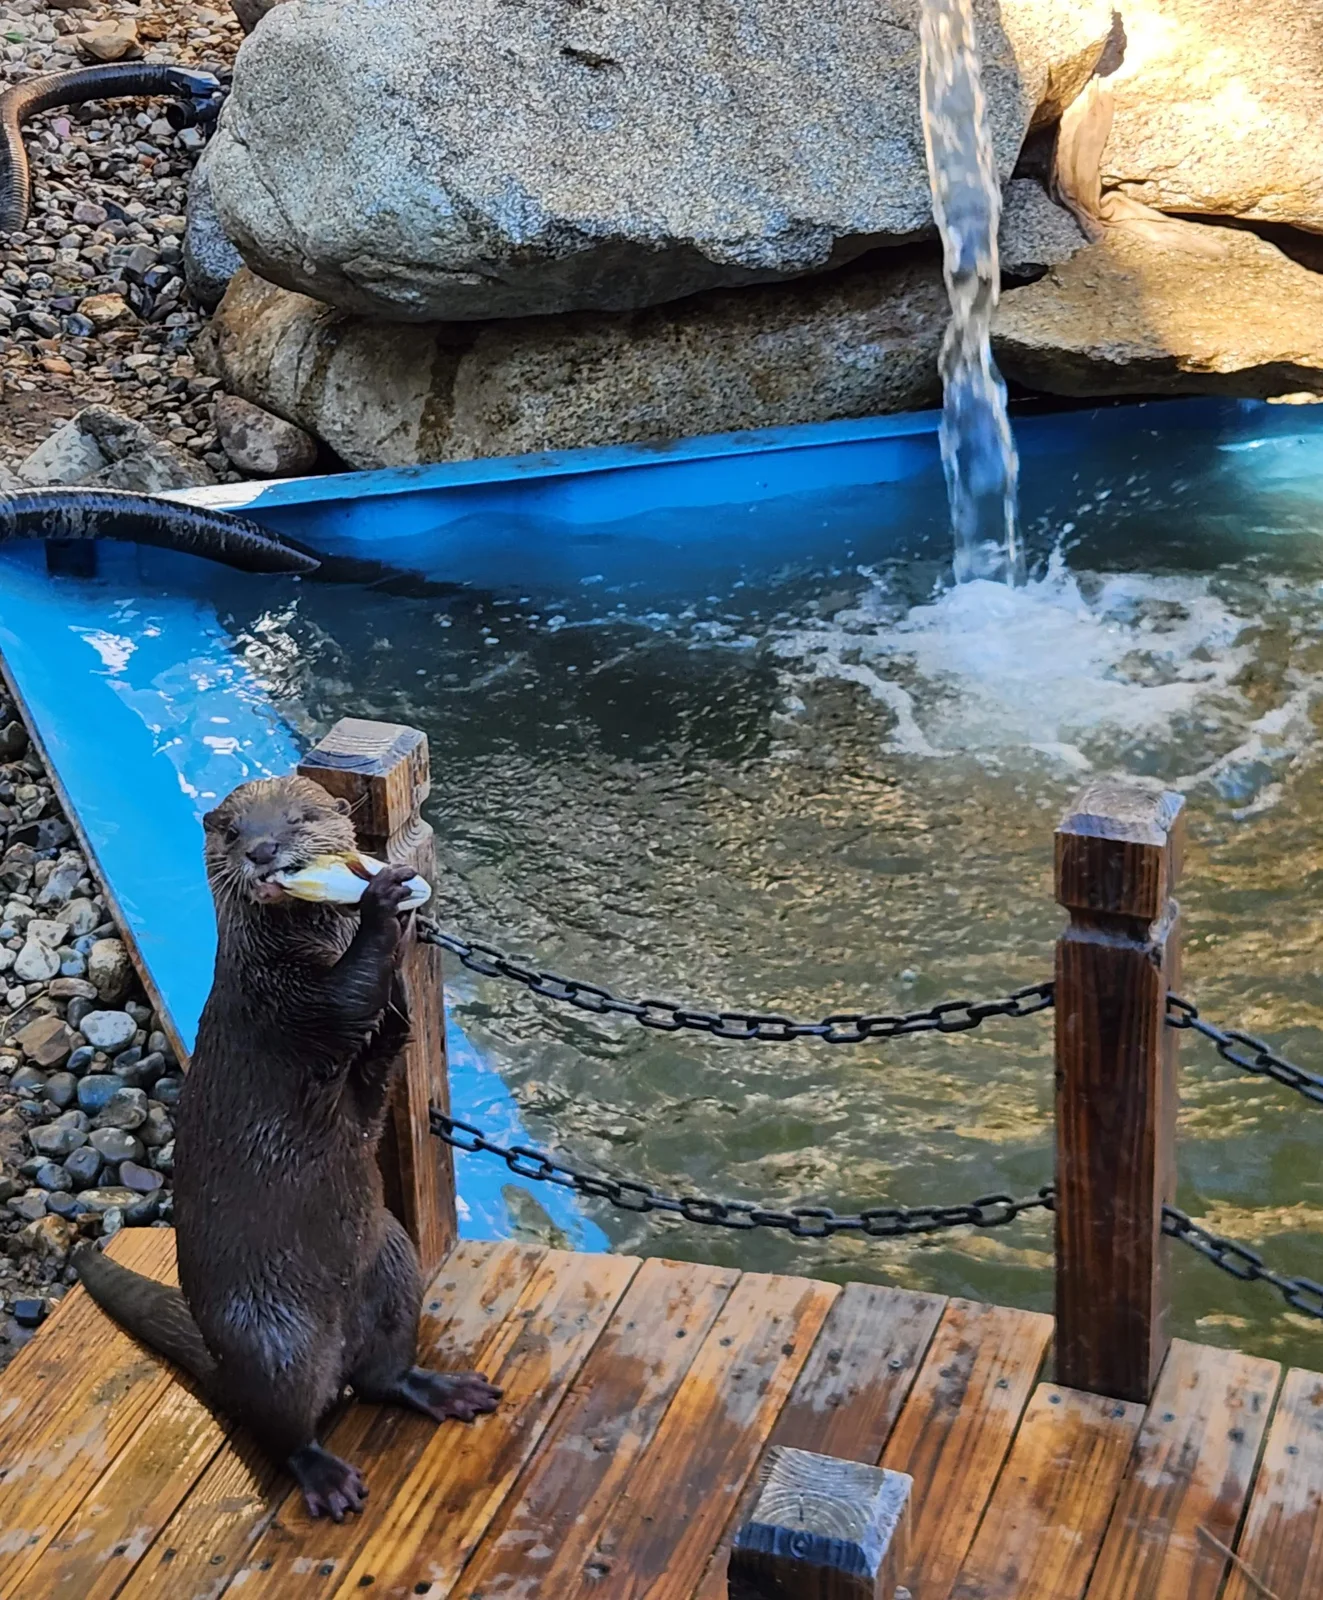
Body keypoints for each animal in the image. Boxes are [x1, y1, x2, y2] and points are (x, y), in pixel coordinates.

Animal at [75, 774, 501, 1520]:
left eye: (299, 819)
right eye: (233, 831)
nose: (265, 850)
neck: (285, 953)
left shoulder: (359, 1061)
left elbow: (384, 1044)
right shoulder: (282, 1004)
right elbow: (346, 996)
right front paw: (382, 900)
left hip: (394, 1268)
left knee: (383, 1375)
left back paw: (442, 1390)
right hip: (272, 1341)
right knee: (283, 1427)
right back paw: (327, 1479)